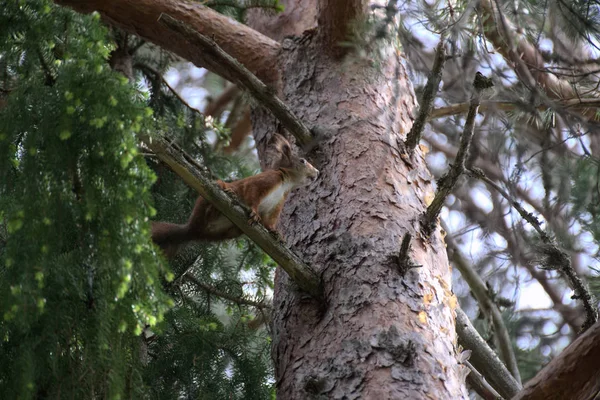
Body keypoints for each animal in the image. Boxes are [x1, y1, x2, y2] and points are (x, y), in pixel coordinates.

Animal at [150, 134, 318, 258]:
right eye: (303, 161)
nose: (317, 172)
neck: (286, 184)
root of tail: (192, 229)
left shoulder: (278, 204)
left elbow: (269, 221)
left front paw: (276, 233)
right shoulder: (267, 180)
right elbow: (252, 193)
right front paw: (254, 212)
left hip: (227, 232)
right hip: (205, 202)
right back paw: (225, 194)